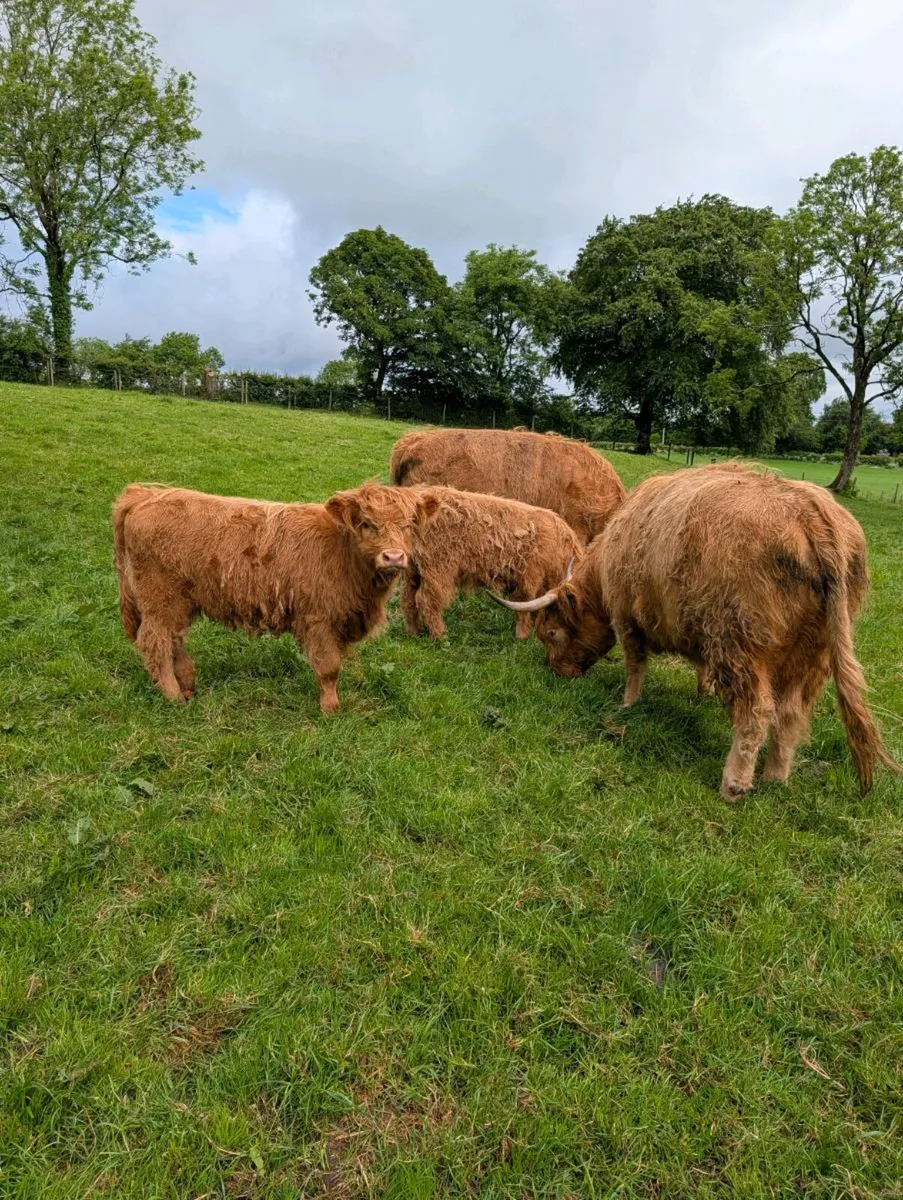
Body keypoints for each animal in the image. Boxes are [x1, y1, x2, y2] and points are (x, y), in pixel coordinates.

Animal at [113, 482, 440, 713]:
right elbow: (329, 668)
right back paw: (172, 695)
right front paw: (331, 709)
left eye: (409, 524)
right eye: (367, 524)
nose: (394, 556)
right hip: (159, 598)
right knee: (156, 642)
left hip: (177, 601)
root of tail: (145, 494)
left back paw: (188, 684)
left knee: (173, 639)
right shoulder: (318, 618)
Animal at [400, 486, 581, 640]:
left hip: (414, 571)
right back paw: (440, 635)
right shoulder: (531, 574)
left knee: (409, 599)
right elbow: (525, 601)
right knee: (427, 600)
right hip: (439, 568)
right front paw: (522, 635)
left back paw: (413, 632)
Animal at [493, 463, 899, 800]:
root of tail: (812, 511)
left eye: (551, 634)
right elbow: (701, 668)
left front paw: (628, 704)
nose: (557, 671)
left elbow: (634, 665)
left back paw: (734, 784)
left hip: (741, 642)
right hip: (814, 657)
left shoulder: (627, 618)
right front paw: (703, 694)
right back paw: (775, 777)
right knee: (791, 715)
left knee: (758, 711)